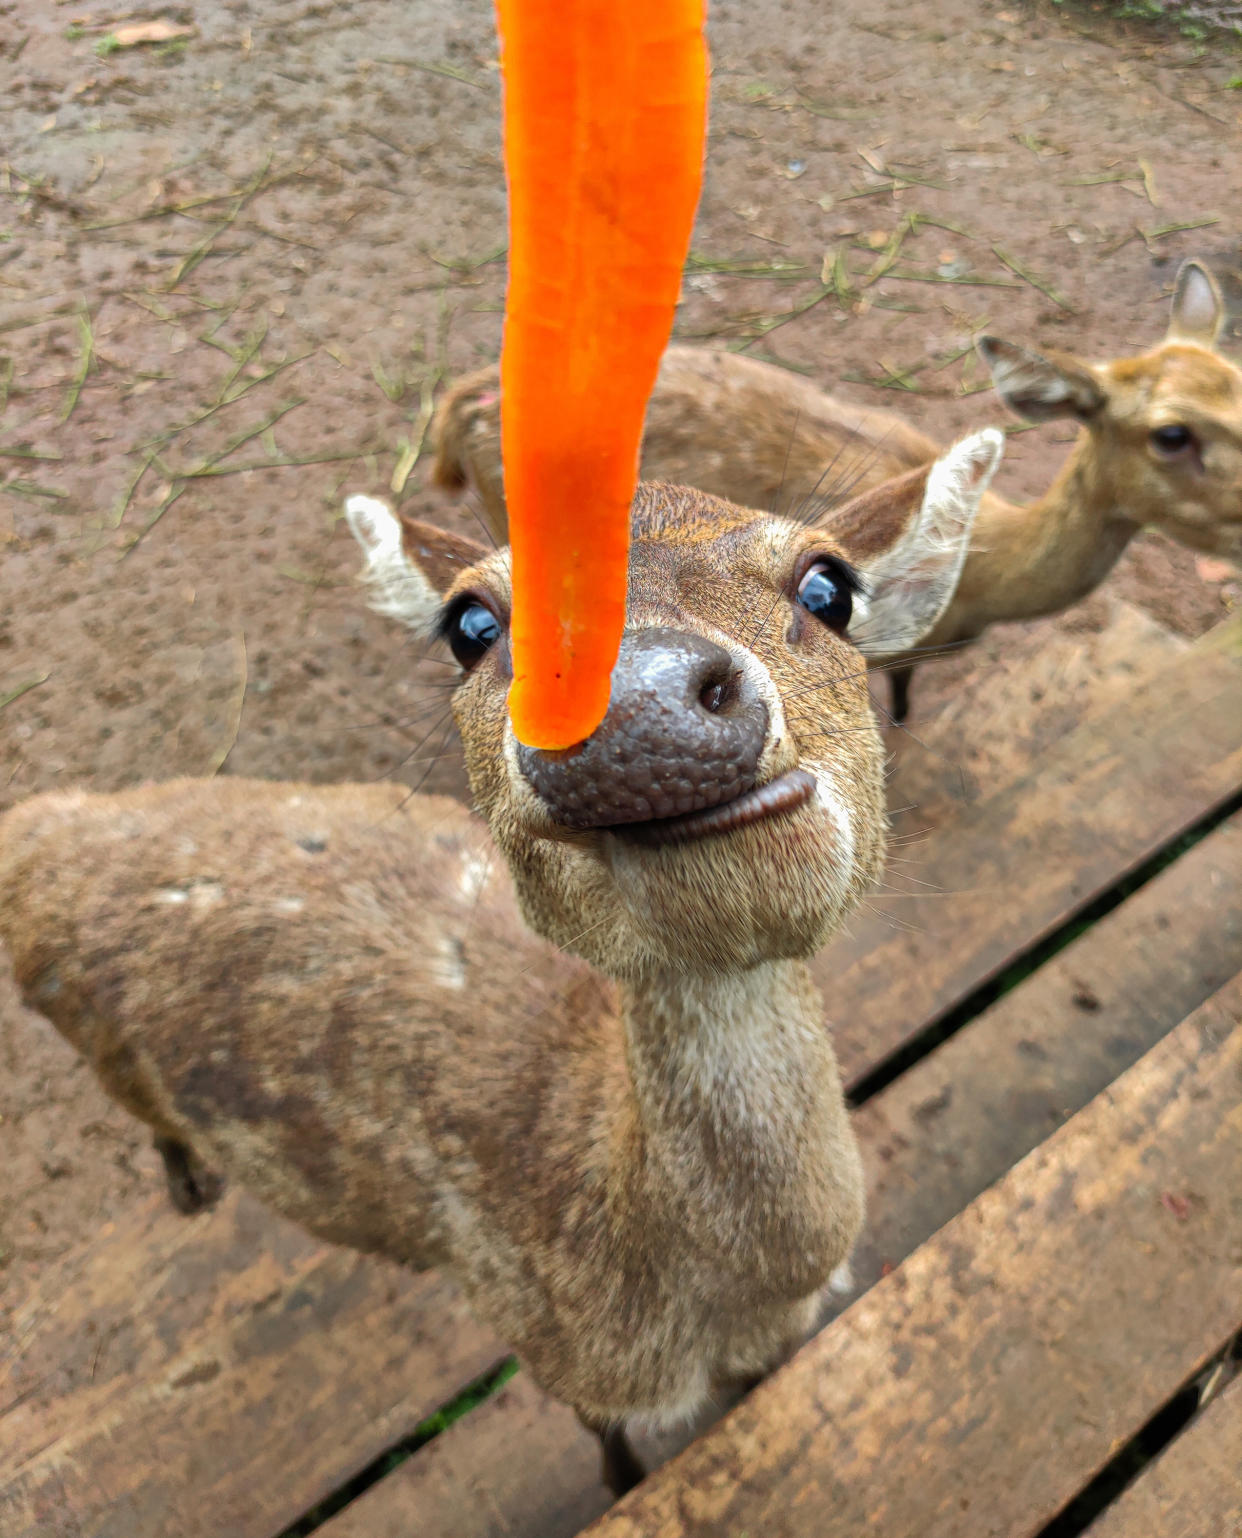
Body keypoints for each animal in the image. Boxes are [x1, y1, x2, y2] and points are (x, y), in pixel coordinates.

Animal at [0, 433, 1002, 1488]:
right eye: (472, 623)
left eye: (829, 586)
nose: (635, 697)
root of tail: (36, 825)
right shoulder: (546, 1340)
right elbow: (609, 1445)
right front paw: (623, 1484)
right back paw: (190, 1188)